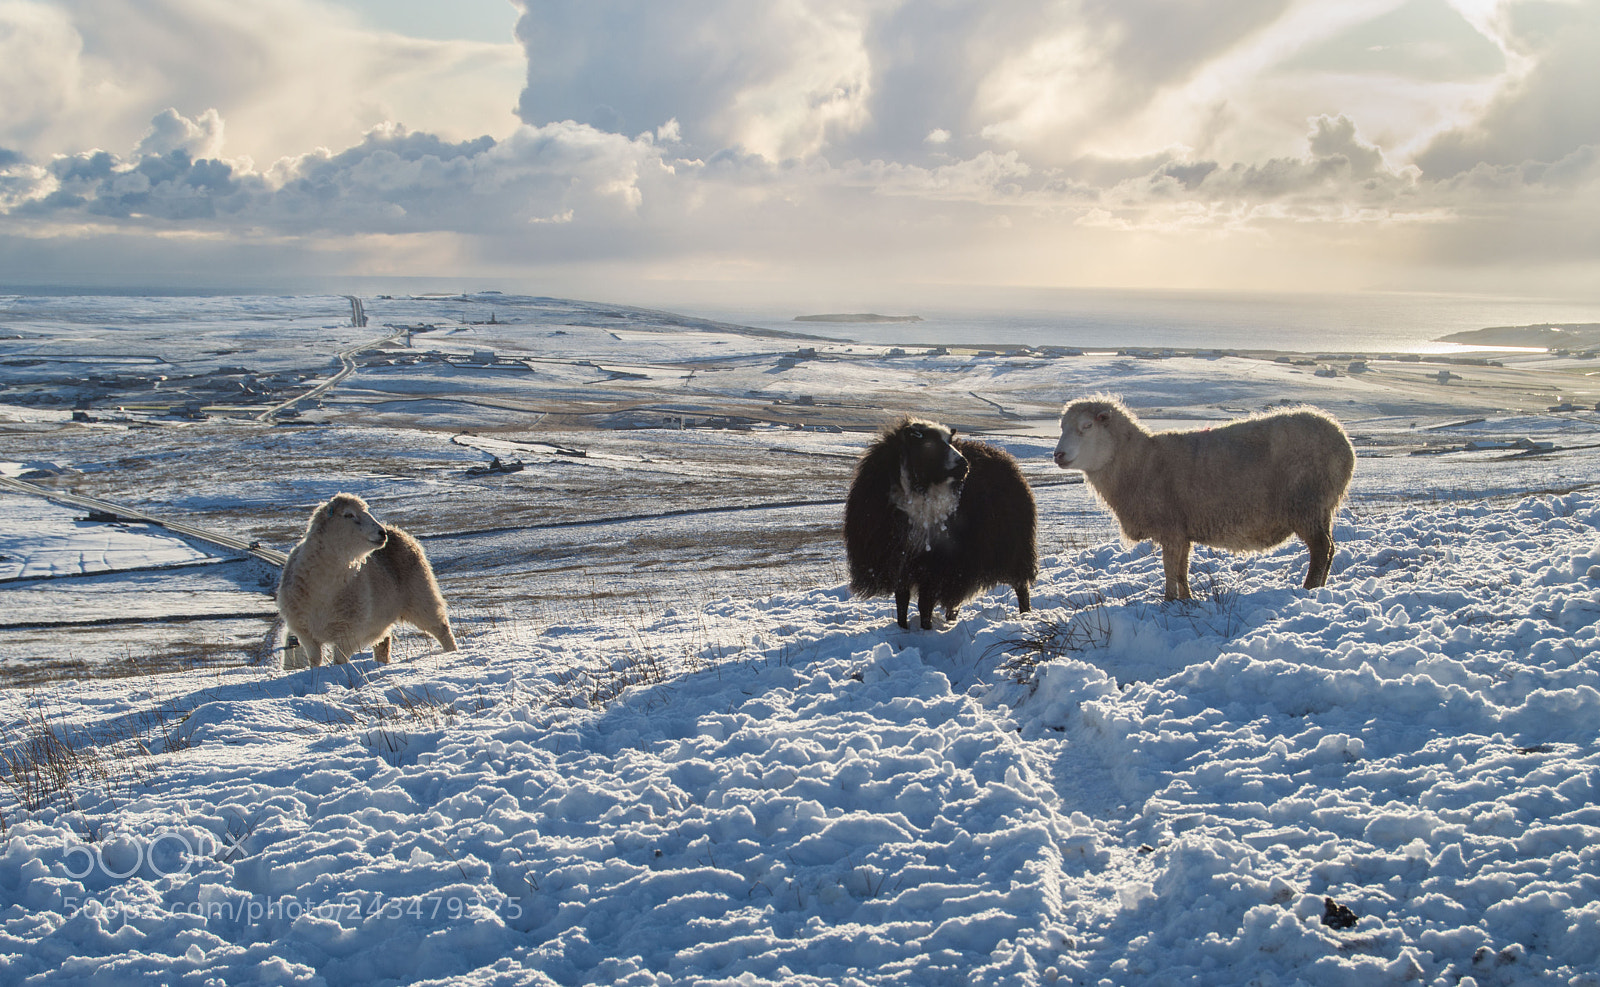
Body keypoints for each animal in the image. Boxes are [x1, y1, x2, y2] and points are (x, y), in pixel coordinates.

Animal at [276, 493, 457, 667]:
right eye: (348, 514)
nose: (382, 533)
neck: (324, 588)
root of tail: (397, 530)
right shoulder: (305, 633)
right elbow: (315, 661)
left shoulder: (348, 633)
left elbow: (339, 661)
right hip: (383, 615)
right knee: (383, 642)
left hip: (421, 595)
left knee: (441, 628)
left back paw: (451, 652)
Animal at [845, 417, 1038, 629]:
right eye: (930, 443)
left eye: (949, 441)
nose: (964, 465)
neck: (918, 490)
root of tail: (1003, 456)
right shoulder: (901, 562)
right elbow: (902, 601)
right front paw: (902, 628)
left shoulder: (935, 565)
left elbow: (925, 604)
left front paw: (926, 629)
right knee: (956, 601)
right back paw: (951, 620)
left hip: (1014, 551)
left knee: (1021, 587)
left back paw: (1025, 614)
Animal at [1053, 396, 1355, 601]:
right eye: (1061, 427)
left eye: (1087, 426)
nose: (1058, 455)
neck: (1141, 462)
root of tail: (1344, 442)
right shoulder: (1182, 530)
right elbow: (1182, 569)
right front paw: (1186, 600)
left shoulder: (1170, 527)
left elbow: (1169, 569)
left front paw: (1168, 602)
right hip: (1321, 508)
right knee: (1329, 549)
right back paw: (1319, 586)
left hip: (1306, 503)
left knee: (1321, 549)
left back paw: (1309, 588)